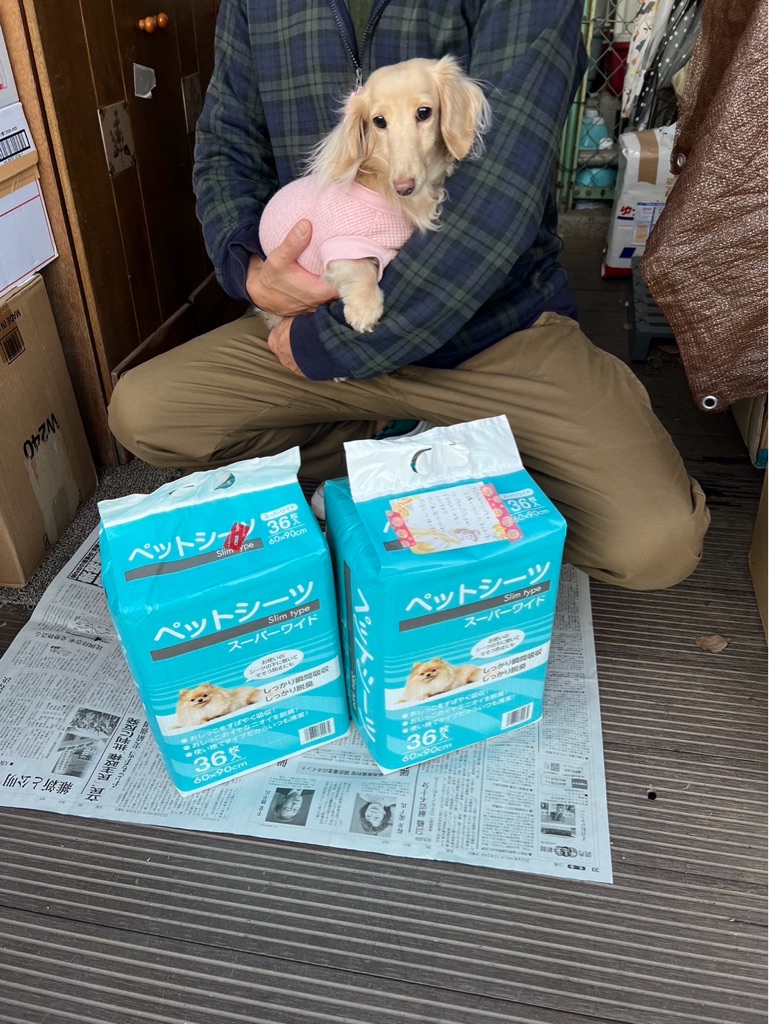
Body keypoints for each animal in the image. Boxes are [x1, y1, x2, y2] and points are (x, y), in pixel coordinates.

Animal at [257, 56, 491, 333]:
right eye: (379, 121)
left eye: (424, 112)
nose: (404, 187)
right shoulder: (338, 246)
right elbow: (359, 269)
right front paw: (364, 309)